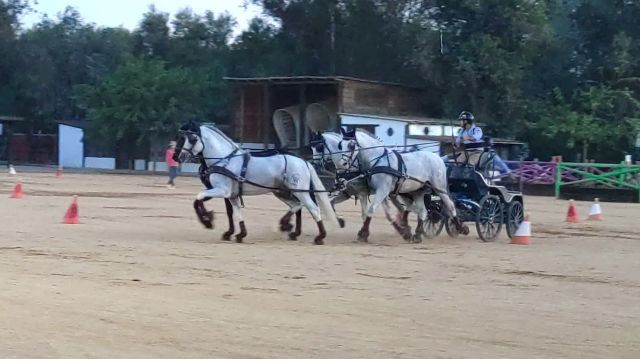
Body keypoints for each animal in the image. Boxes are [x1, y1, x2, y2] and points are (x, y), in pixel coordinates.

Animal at [172, 122, 338, 246]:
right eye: (181, 137)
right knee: (296, 205)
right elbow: (236, 211)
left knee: (313, 208)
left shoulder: (222, 190)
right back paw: (286, 226)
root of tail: (303, 161)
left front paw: (207, 220)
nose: (178, 156)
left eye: (192, 139)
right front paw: (239, 234)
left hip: (299, 190)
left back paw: (320, 237)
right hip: (282, 191)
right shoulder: (231, 194)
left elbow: (199, 197)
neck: (224, 159)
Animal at [338, 128, 468, 243]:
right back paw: (417, 235)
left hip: (440, 188)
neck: (379, 160)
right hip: (418, 191)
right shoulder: (381, 191)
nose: (341, 165)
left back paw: (460, 227)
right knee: (422, 211)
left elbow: (371, 210)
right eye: (340, 145)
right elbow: (387, 213)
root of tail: (438, 158)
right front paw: (404, 232)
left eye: (351, 145)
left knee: (450, 206)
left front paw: (363, 234)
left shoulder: (383, 190)